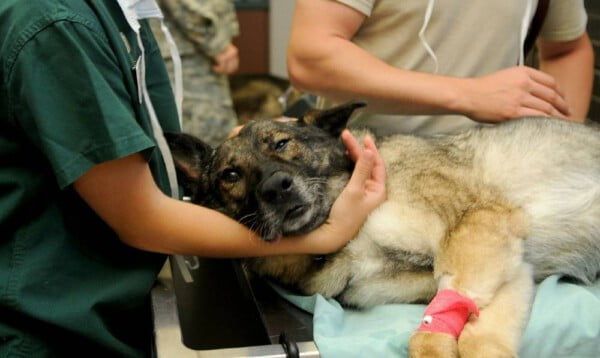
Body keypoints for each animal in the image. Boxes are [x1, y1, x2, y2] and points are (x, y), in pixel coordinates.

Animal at [166, 102, 600, 356]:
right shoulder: (507, 266)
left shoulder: (479, 226)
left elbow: (445, 330)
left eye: (282, 143)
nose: (276, 187)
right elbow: (475, 329)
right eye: (231, 175)